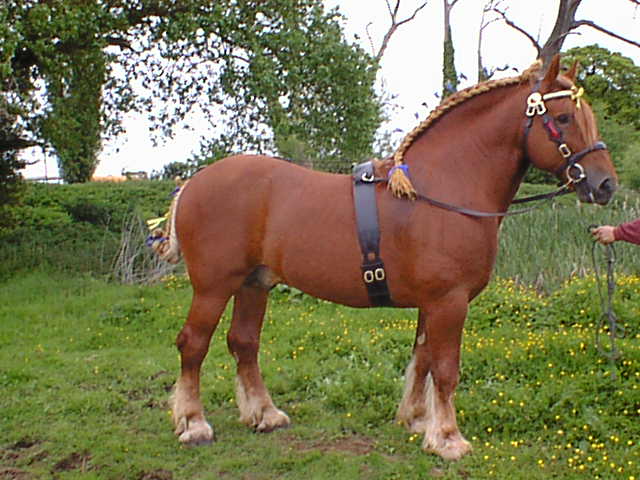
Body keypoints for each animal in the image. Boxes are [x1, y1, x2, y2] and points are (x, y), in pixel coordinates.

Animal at [150, 57, 616, 462]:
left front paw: (418, 420)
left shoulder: (433, 303)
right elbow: (445, 369)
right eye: (563, 118)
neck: (443, 189)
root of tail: (192, 183)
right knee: (193, 344)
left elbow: (422, 359)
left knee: (244, 343)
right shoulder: (449, 301)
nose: (605, 184)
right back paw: (193, 423)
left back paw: (264, 414)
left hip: (254, 283)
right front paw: (448, 438)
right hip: (214, 286)